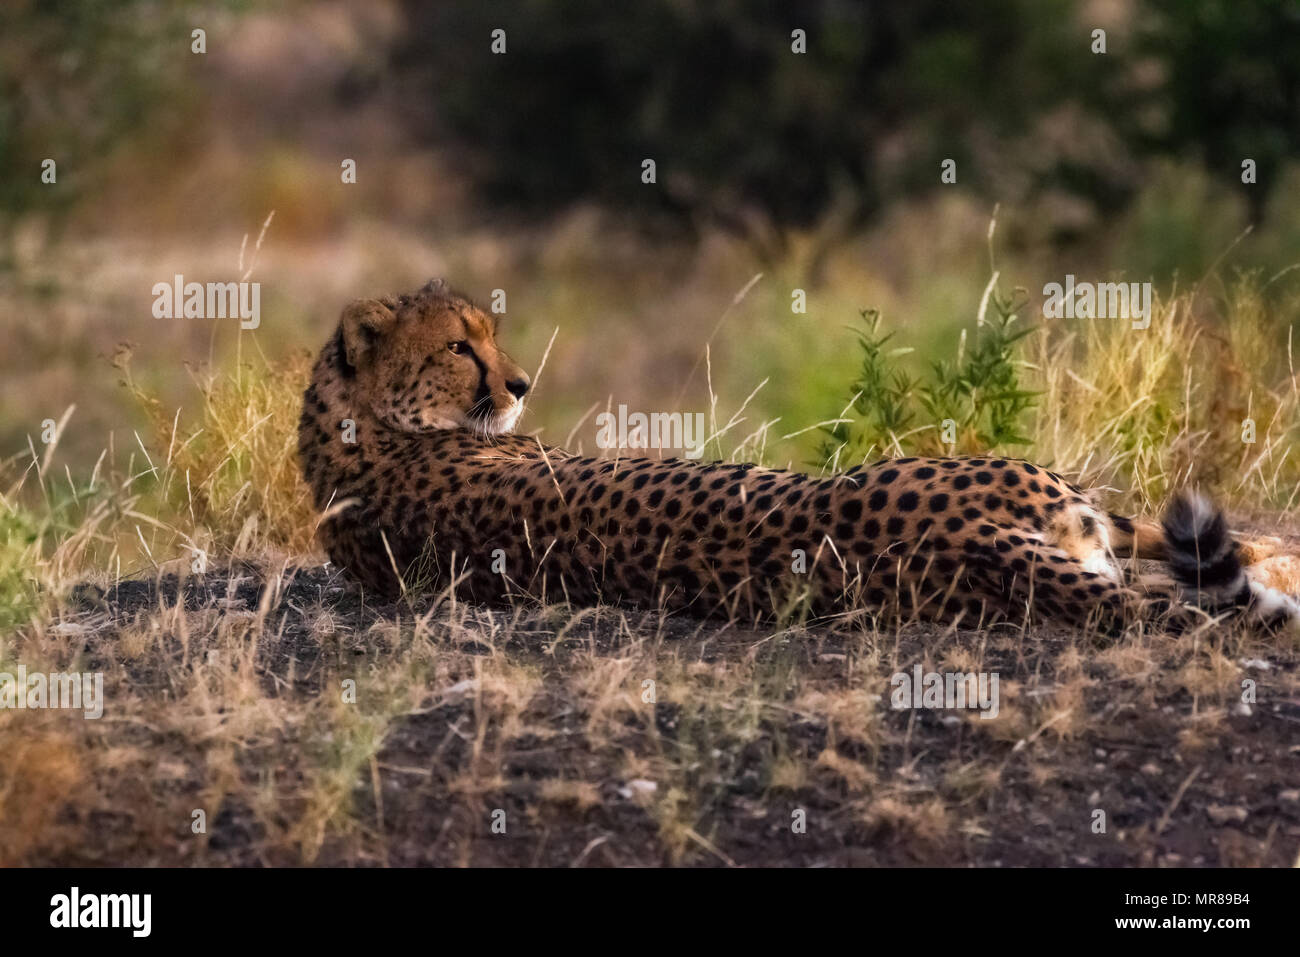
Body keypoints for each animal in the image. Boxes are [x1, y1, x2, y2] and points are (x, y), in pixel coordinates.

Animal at [299, 278, 1300, 634]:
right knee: (1212, 559)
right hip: (1038, 488)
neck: (358, 436)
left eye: (491, 334)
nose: (518, 384)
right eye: (457, 345)